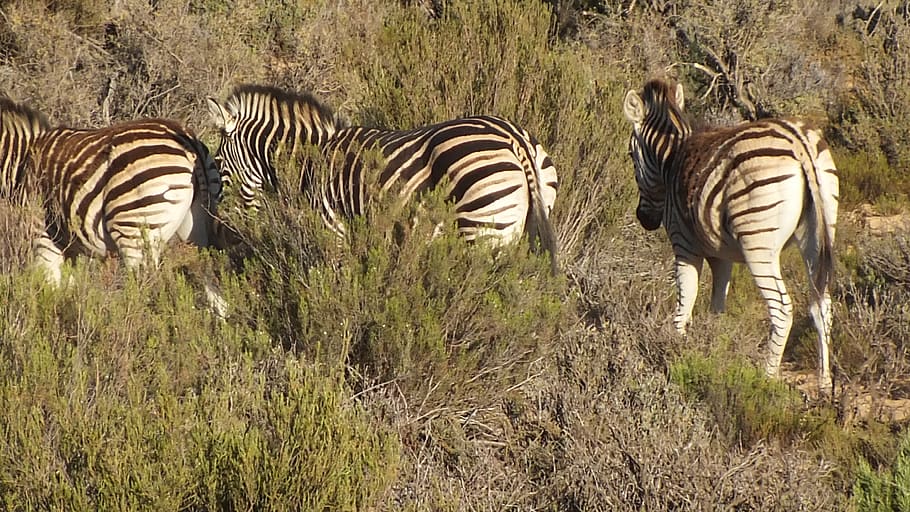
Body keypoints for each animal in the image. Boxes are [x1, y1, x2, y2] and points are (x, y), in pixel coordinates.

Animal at [0, 97, 226, 314]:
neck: (21, 162)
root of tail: (185, 136)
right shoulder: (70, 248)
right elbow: (67, 294)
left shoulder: (43, 237)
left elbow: (48, 296)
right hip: (195, 232)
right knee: (215, 292)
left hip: (135, 232)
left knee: (150, 293)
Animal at [206, 85, 559, 271]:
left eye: (219, 164)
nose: (221, 236)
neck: (311, 159)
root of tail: (515, 139)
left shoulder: (332, 224)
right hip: (516, 226)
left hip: (480, 231)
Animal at [622, 78, 839, 394]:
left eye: (630, 155)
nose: (645, 219)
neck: (671, 160)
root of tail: (798, 141)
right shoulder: (720, 256)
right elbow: (717, 307)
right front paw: (713, 348)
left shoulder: (684, 245)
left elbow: (685, 300)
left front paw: (672, 350)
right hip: (819, 233)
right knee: (822, 304)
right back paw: (824, 384)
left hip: (758, 244)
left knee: (782, 309)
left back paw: (766, 380)